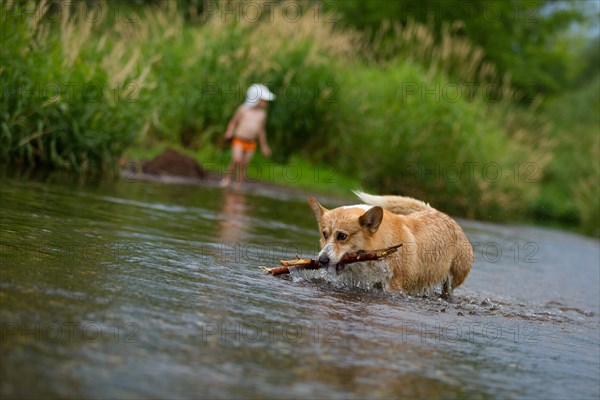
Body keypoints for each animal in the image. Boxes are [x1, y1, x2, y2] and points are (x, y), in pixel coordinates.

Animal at [310, 191, 474, 296]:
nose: (322, 260)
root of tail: (441, 213)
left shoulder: (394, 286)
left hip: (453, 279)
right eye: (324, 234)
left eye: (342, 236)